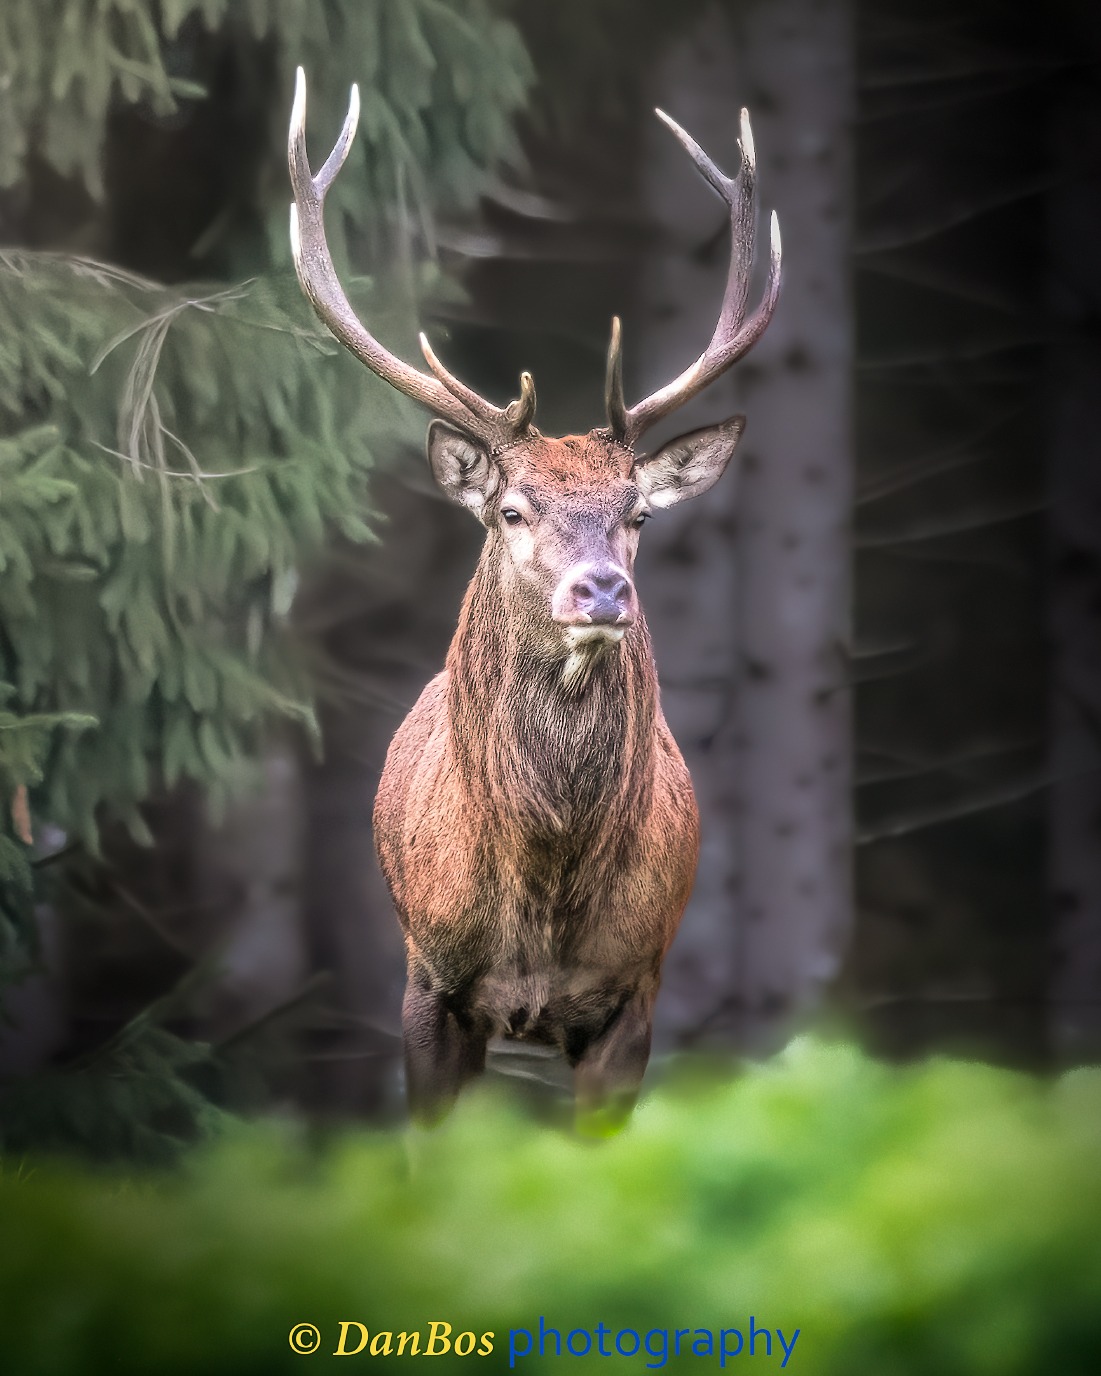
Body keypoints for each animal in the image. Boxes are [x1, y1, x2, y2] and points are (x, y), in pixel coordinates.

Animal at [288, 68, 780, 1128]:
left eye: (638, 513)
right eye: (511, 510)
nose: (602, 588)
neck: (545, 889)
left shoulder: (634, 992)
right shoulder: (428, 985)